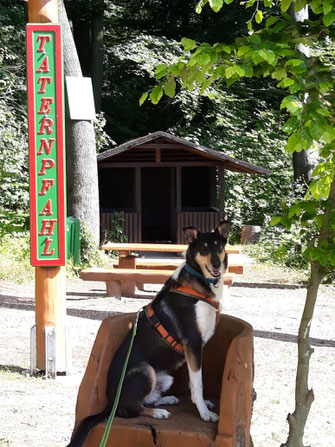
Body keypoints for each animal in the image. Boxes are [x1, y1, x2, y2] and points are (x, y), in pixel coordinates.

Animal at [68, 221, 231, 447]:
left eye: (219, 246)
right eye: (203, 249)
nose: (216, 264)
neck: (200, 280)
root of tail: (110, 403)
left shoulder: (194, 353)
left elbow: (193, 383)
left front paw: (203, 404)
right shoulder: (193, 344)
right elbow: (198, 384)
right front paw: (204, 413)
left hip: (165, 378)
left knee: (147, 400)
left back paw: (166, 400)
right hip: (146, 371)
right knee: (130, 410)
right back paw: (158, 413)